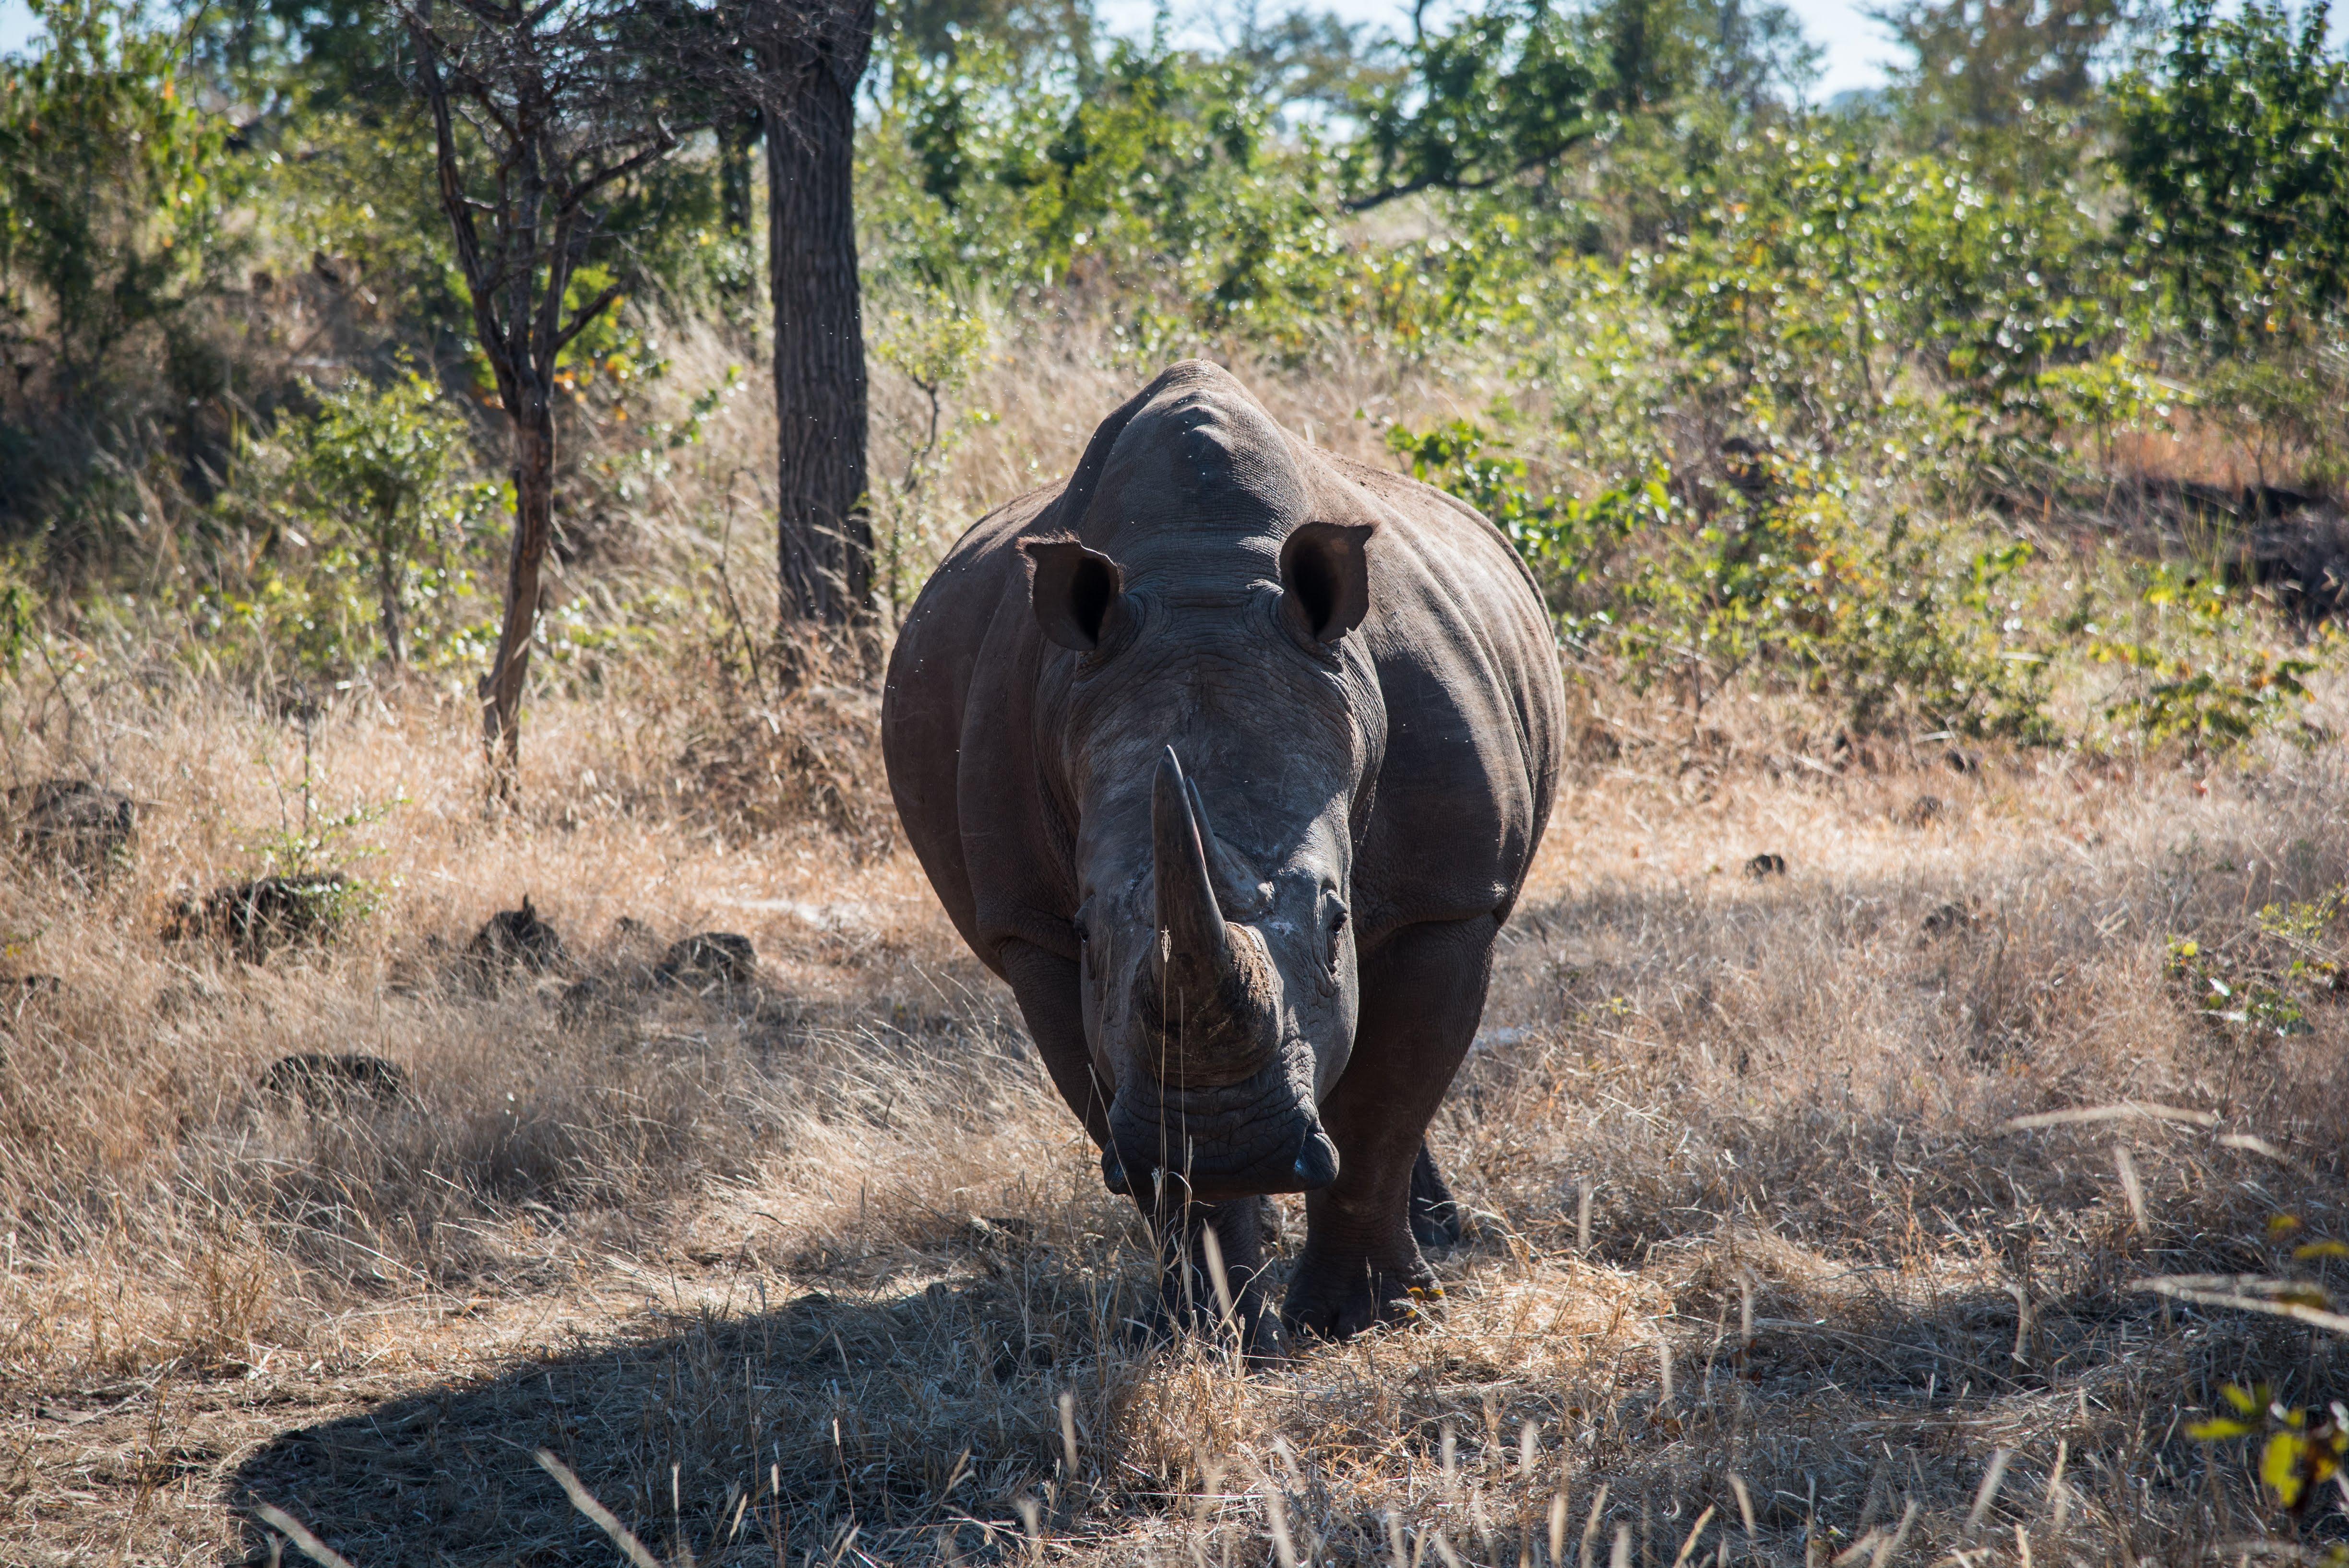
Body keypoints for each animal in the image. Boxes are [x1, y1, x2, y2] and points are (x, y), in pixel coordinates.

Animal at [883, 361, 1564, 1351]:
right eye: (1088, 932)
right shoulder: (1032, 928)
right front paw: (1203, 1336)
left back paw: (1436, 1232)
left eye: (1335, 921)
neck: (1202, 579)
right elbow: (1147, 1143)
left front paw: (1358, 1320)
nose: (1239, 1139)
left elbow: (1387, 1100)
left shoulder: (1450, 896)